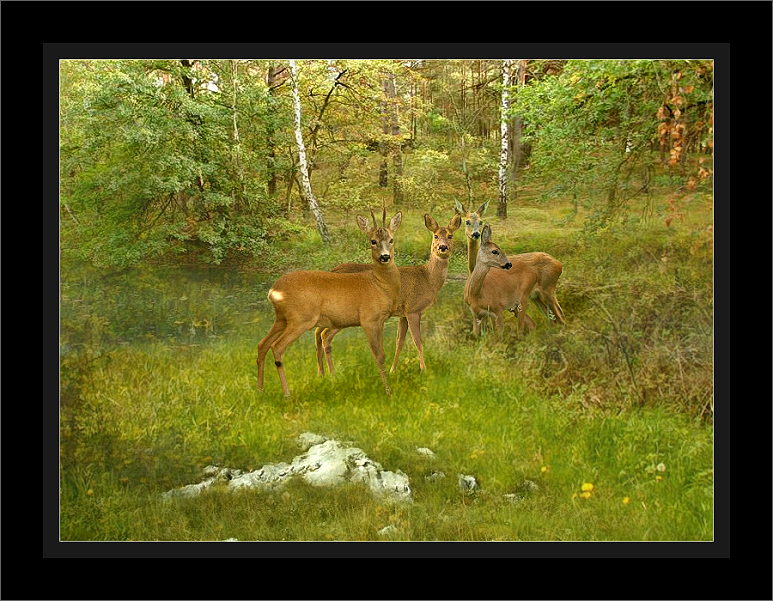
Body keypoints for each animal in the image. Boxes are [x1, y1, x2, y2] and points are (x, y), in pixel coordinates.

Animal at [260, 209, 404, 396]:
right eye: (373, 241)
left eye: (391, 239)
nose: (385, 257)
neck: (379, 285)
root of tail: (274, 291)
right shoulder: (369, 319)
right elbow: (379, 355)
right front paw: (388, 391)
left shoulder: (380, 321)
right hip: (301, 319)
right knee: (277, 347)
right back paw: (287, 394)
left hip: (281, 318)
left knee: (262, 345)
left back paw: (260, 389)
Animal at [316, 212, 462, 376]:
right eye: (435, 235)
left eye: (450, 235)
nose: (442, 247)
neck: (427, 278)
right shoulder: (413, 309)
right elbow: (418, 341)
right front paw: (424, 370)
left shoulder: (403, 313)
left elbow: (400, 341)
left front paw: (392, 370)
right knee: (324, 335)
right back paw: (332, 374)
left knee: (318, 332)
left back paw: (321, 373)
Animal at [452, 199, 568, 336]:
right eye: (467, 221)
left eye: (480, 221)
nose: (476, 234)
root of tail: (559, 264)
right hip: (536, 296)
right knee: (551, 318)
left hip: (547, 290)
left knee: (559, 315)